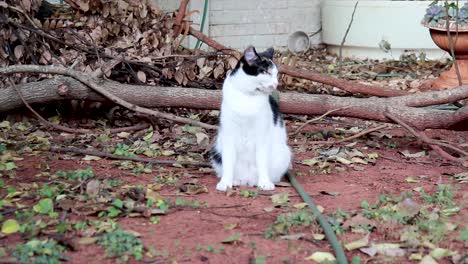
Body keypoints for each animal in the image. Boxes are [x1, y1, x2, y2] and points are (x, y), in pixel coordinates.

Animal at [210, 46, 290, 192]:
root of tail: (246, 180)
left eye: (276, 74)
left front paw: (264, 182)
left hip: (283, 153)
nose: (276, 84)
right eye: (266, 72)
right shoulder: (228, 134)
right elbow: (228, 162)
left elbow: (262, 161)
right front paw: (225, 182)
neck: (247, 97)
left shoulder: (262, 134)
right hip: (216, 151)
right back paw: (235, 180)